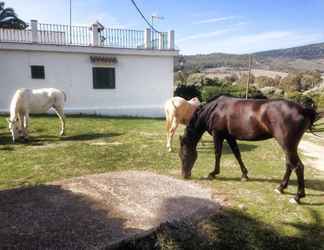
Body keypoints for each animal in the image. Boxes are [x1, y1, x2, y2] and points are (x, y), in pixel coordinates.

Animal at [178, 95, 320, 203]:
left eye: (183, 155)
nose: (185, 175)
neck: (215, 109)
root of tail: (303, 109)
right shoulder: (230, 136)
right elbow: (237, 153)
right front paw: (244, 175)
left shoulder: (217, 134)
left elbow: (218, 153)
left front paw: (213, 173)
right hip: (288, 146)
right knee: (289, 164)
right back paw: (281, 188)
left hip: (287, 144)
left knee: (298, 166)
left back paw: (297, 197)